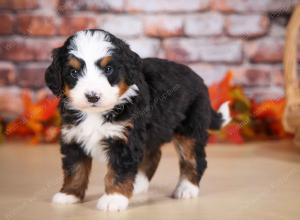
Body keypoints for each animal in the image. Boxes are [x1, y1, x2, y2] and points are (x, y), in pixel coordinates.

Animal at [45, 28, 231, 211]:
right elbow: (75, 169)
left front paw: (114, 199)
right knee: (153, 155)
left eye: (108, 69)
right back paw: (139, 184)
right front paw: (69, 194)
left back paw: (186, 189)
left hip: (190, 130)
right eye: (73, 72)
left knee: (194, 159)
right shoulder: (73, 137)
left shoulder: (125, 138)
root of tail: (201, 81)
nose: (92, 97)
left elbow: (118, 171)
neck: (96, 113)